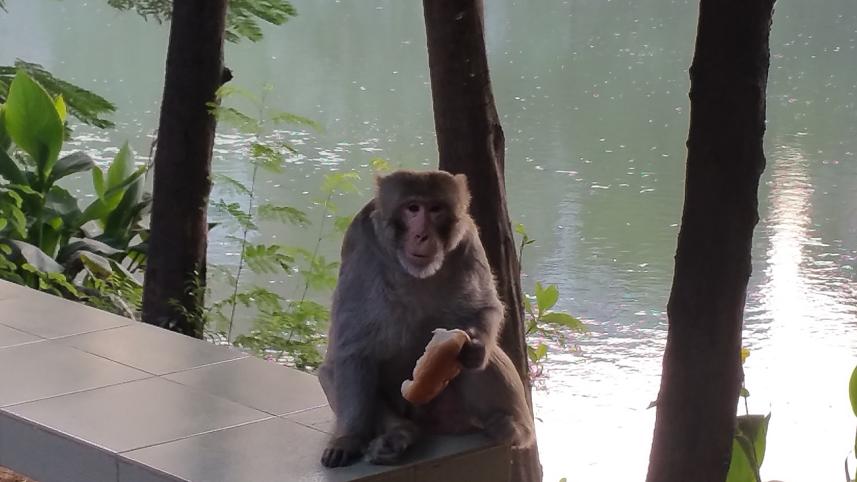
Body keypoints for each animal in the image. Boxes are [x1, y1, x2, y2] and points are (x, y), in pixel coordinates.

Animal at [318, 169, 535, 468]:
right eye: (412, 208)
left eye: (435, 209)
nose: (422, 235)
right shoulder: (359, 243)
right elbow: (352, 344)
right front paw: (348, 438)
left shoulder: (468, 238)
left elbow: (485, 307)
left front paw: (475, 348)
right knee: (335, 369)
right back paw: (398, 434)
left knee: (483, 360)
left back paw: (513, 427)